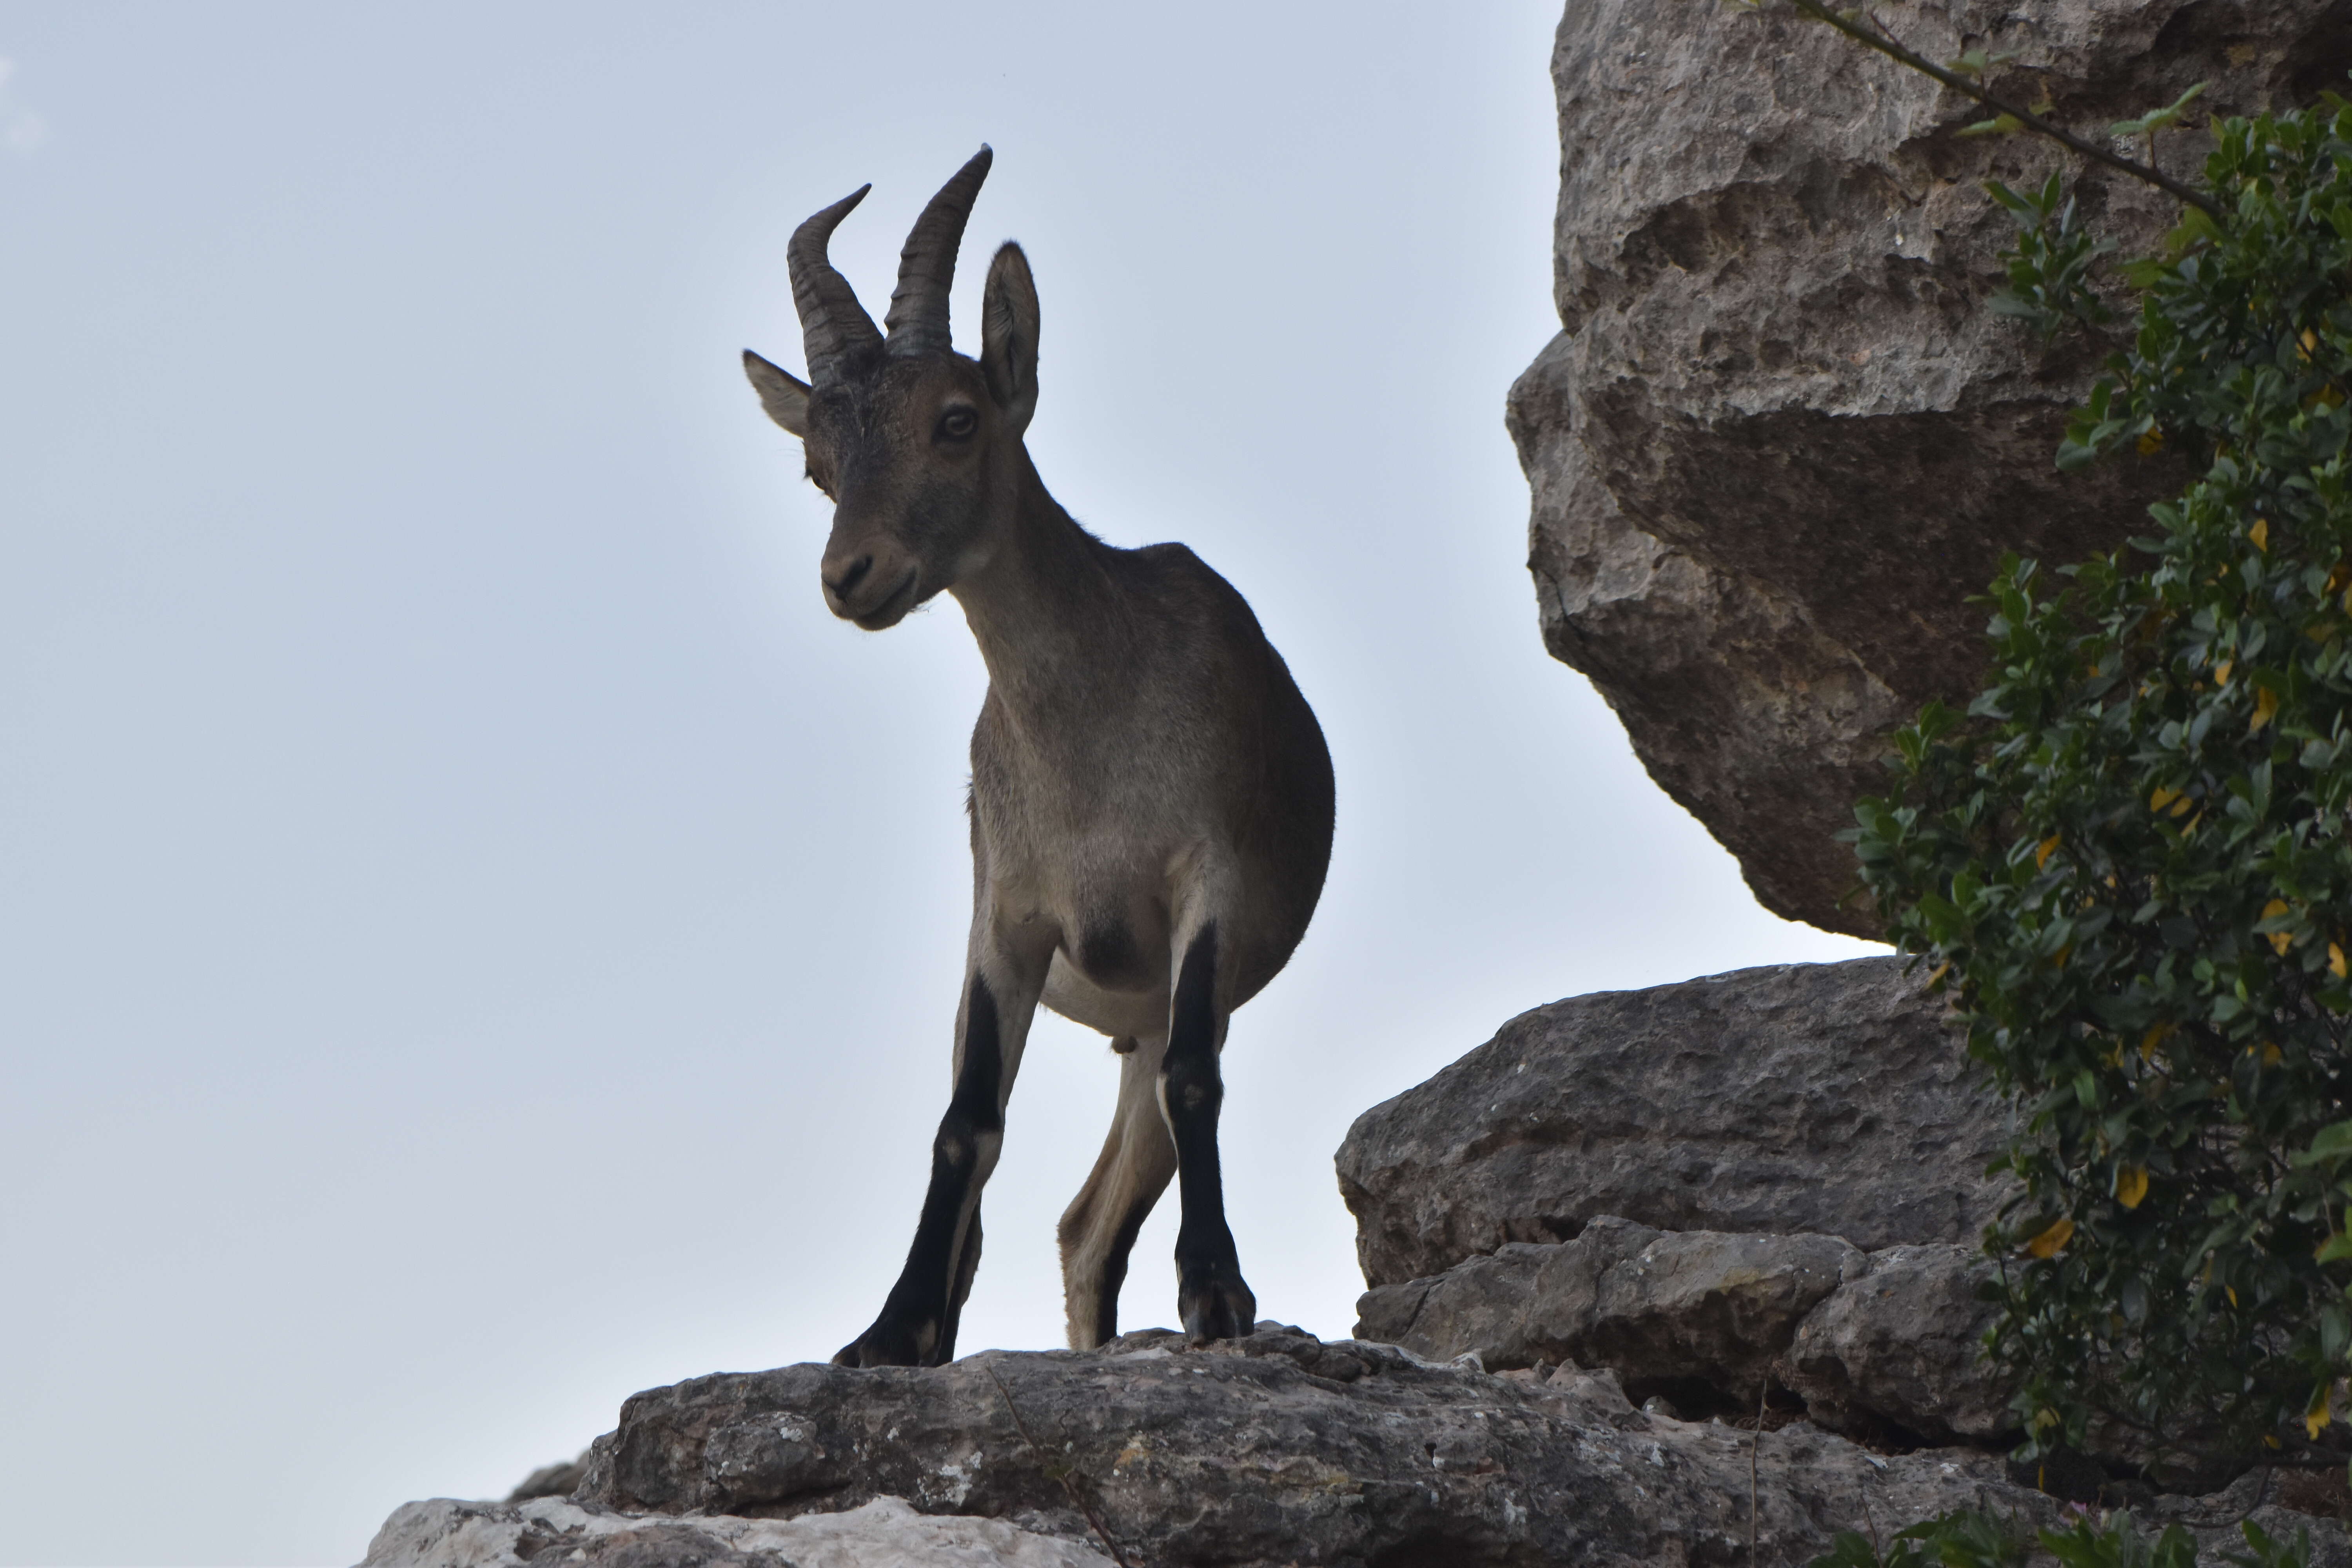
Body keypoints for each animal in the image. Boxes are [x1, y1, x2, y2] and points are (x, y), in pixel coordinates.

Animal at [743, 152, 1336, 1363]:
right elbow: (966, 1125)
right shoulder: (1004, 922)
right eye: (820, 464)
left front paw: (1218, 1294)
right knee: (1061, 1219)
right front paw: (889, 1330)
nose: (850, 577)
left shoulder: (1207, 885)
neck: (1091, 742)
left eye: (957, 418)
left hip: (1151, 1019)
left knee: (1098, 1213)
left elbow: (1197, 1083)